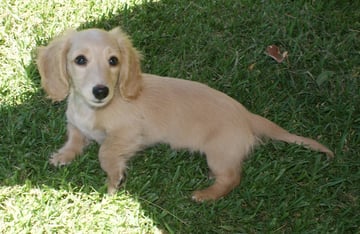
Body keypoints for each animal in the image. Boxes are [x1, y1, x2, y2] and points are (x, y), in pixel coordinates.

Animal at [35, 26, 332, 201]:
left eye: (113, 61)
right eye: (80, 60)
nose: (101, 91)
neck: (93, 109)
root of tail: (247, 115)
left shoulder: (128, 134)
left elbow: (105, 151)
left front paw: (112, 181)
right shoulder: (76, 125)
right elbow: (74, 138)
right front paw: (63, 156)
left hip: (219, 153)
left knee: (233, 178)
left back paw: (207, 194)